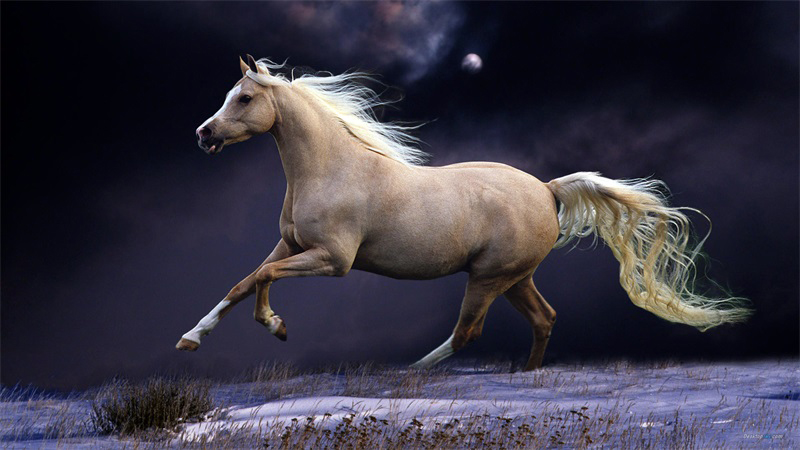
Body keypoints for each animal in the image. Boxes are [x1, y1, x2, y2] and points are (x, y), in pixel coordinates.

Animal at [176, 55, 751, 371]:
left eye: (244, 98)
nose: (203, 134)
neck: (330, 169)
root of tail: (548, 190)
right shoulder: (291, 245)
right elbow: (244, 281)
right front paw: (190, 339)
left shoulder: (332, 260)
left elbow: (263, 279)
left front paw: (275, 326)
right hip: (515, 277)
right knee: (544, 318)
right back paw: (525, 376)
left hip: (489, 277)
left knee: (467, 333)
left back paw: (407, 373)